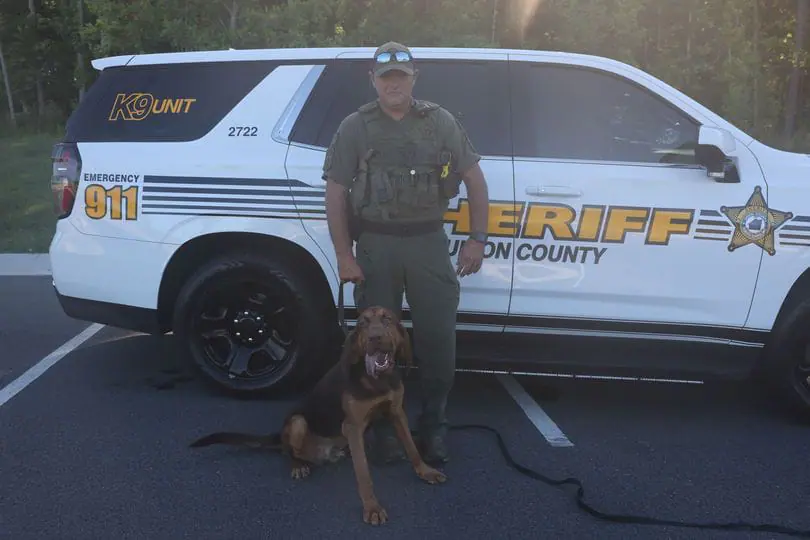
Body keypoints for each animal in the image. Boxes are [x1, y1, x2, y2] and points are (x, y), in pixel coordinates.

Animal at [187, 306, 446, 524]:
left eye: (387, 319)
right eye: (363, 323)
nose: (374, 338)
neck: (377, 380)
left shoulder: (396, 413)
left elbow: (411, 447)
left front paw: (426, 471)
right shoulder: (353, 427)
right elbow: (363, 473)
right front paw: (372, 507)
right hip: (298, 422)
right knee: (287, 450)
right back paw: (298, 465)